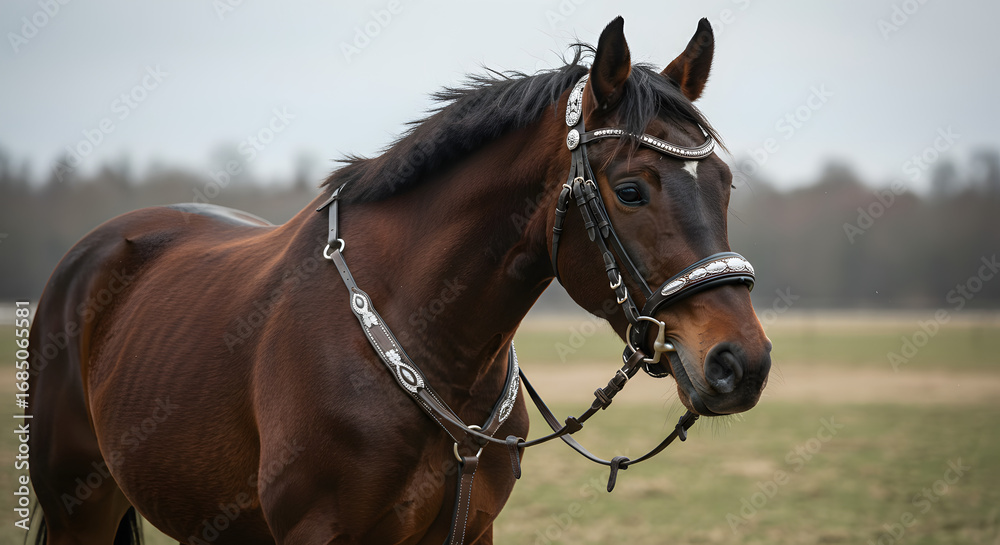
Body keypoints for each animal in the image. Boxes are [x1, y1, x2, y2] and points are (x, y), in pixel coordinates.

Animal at [27, 16, 771, 545]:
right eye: (631, 190)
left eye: (726, 184)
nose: (742, 362)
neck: (431, 353)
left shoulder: (471, 530)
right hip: (77, 510)